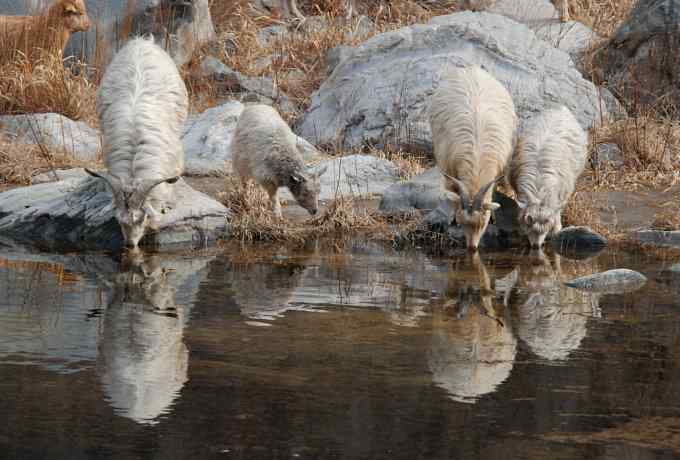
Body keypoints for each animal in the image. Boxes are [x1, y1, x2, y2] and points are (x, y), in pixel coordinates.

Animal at [428, 65, 516, 252]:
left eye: (482, 224)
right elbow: (453, 191)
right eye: (462, 223)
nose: (472, 248)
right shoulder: (449, 169)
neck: (477, 162)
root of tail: (471, 68)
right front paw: (452, 218)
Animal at [508, 105, 588, 248]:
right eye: (528, 225)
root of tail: (561, 108)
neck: (539, 189)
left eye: (546, 229)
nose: (536, 246)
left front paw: (557, 229)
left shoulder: (561, 195)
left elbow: (557, 212)